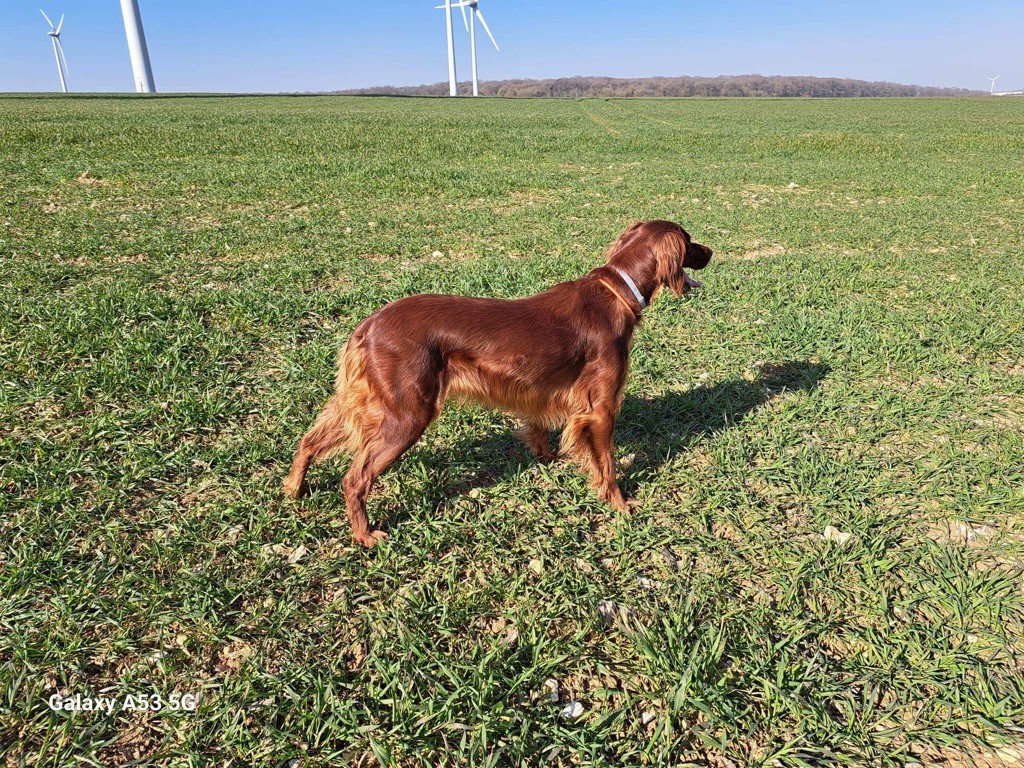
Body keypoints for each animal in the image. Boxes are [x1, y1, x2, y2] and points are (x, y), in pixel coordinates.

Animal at [280, 219, 712, 548]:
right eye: (690, 241)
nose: (712, 251)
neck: (617, 293)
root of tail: (369, 324)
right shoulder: (600, 407)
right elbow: (605, 462)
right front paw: (620, 504)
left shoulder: (549, 395)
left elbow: (543, 431)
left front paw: (550, 458)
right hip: (406, 415)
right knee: (355, 478)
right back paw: (365, 535)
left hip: (368, 404)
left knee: (309, 441)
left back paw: (294, 489)